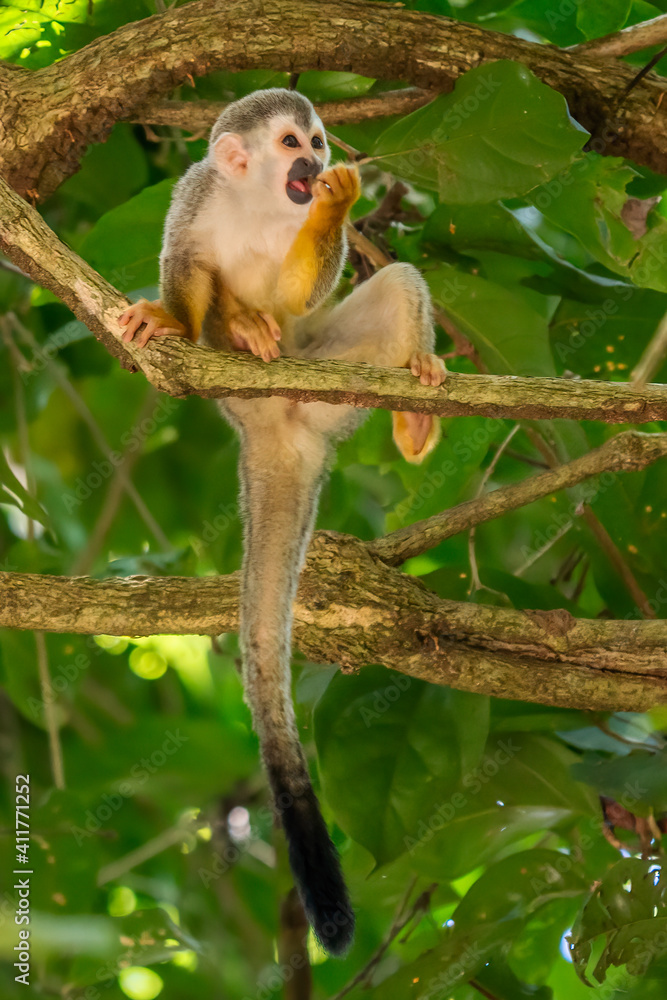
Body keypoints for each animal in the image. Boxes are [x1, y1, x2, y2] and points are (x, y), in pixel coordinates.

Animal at [118, 88, 446, 955]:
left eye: (319, 142)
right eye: (292, 143)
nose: (317, 162)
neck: (261, 202)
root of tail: (276, 428)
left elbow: (304, 289)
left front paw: (337, 204)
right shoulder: (193, 195)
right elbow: (187, 273)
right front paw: (186, 319)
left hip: (326, 378)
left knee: (393, 281)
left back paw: (415, 395)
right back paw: (240, 333)